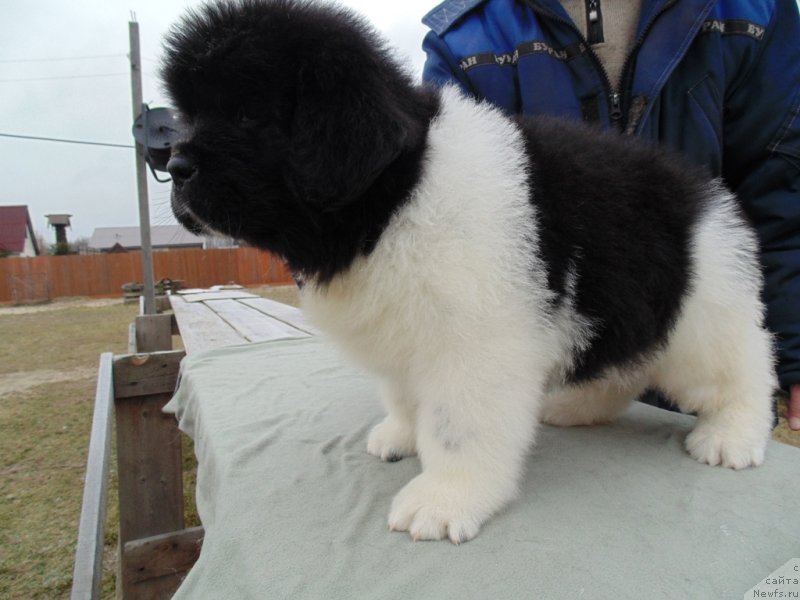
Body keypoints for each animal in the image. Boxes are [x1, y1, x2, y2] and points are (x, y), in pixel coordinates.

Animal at [162, 0, 776, 544]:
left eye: (247, 113)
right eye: (188, 115)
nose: (173, 165)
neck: (397, 192)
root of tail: (707, 196)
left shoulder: (474, 346)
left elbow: (459, 428)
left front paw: (445, 498)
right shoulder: (403, 329)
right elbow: (404, 397)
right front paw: (402, 436)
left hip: (702, 320)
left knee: (744, 370)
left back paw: (731, 436)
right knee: (620, 367)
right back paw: (575, 408)